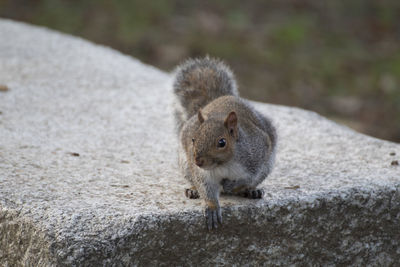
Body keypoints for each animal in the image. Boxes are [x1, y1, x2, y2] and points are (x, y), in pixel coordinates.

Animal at [172, 57, 278, 231]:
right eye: (193, 139)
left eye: (222, 142)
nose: (198, 161)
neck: (223, 164)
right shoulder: (203, 173)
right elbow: (206, 187)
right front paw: (212, 207)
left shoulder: (256, 156)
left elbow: (248, 177)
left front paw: (234, 184)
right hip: (185, 163)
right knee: (194, 181)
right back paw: (193, 190)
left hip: (267, 165)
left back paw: (250, 191)